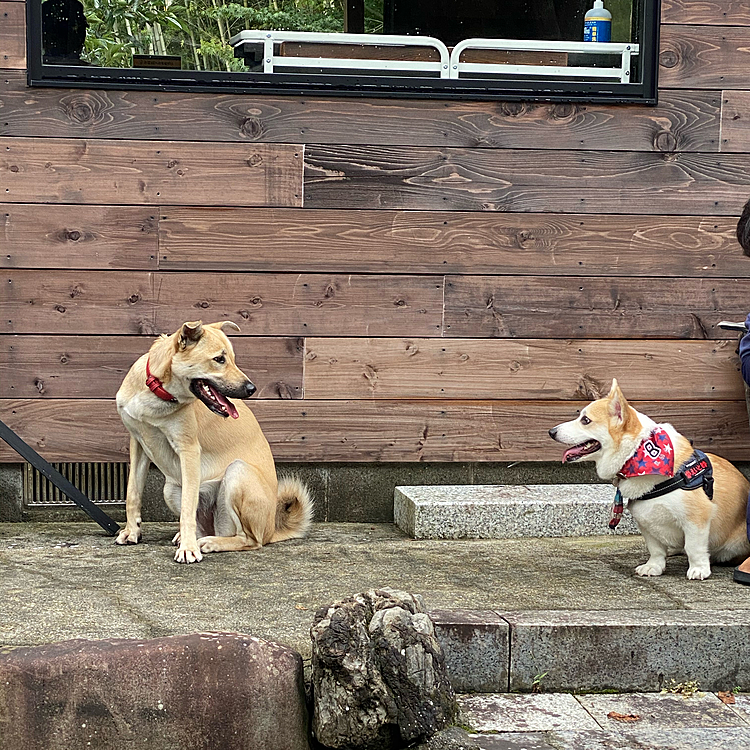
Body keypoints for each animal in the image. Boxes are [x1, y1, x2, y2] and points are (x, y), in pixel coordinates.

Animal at [114, 322, 312, 564]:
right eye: (219, 359)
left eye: (233, 359)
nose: (251, 389)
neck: (157, 392)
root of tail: (271, 530)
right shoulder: (138, 444)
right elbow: (132, 492)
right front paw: (132, 531)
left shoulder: (189, 450)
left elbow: (187, 508)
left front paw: (188, 549)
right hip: (171, 489)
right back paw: (187, 537)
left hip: (237, 472)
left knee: (249, 540)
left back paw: (209, 543)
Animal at [548, 382, 748, 580]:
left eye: (585, 420)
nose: (551, 432)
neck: (637, 453)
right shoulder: (647, 523)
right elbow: (656, 550)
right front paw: (654, 567)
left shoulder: (696, 518)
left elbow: (694, 548)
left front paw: (699, 569)